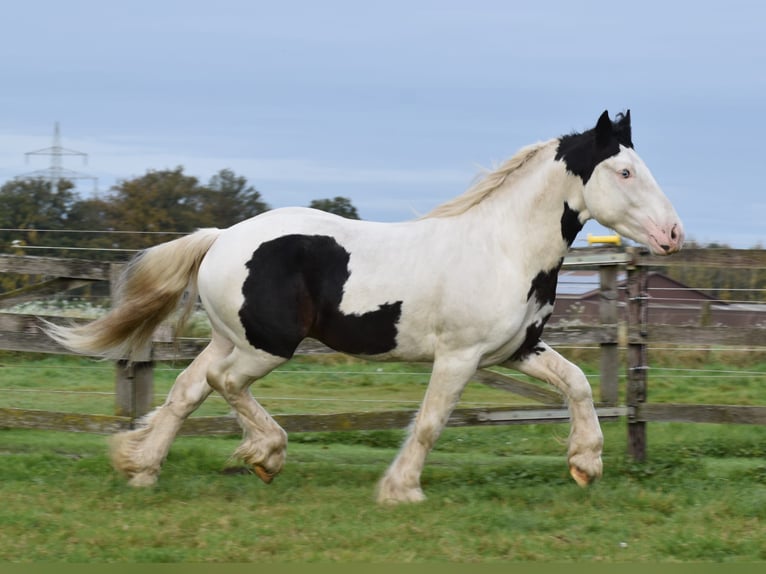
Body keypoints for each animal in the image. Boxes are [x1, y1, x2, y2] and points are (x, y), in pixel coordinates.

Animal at [51, 111, 688, 504]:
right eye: (624, 170)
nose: (673, 234)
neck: (503, 247)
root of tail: (221, 237)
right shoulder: (460, 357)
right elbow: (430, 422)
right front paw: (401, 489)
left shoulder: (515, 351)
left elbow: (577, 383)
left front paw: (586, 465)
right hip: (266, 347)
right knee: (221, 383)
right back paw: (264, 455)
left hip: (232, 337)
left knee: (187, 391)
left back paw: (142, 468)